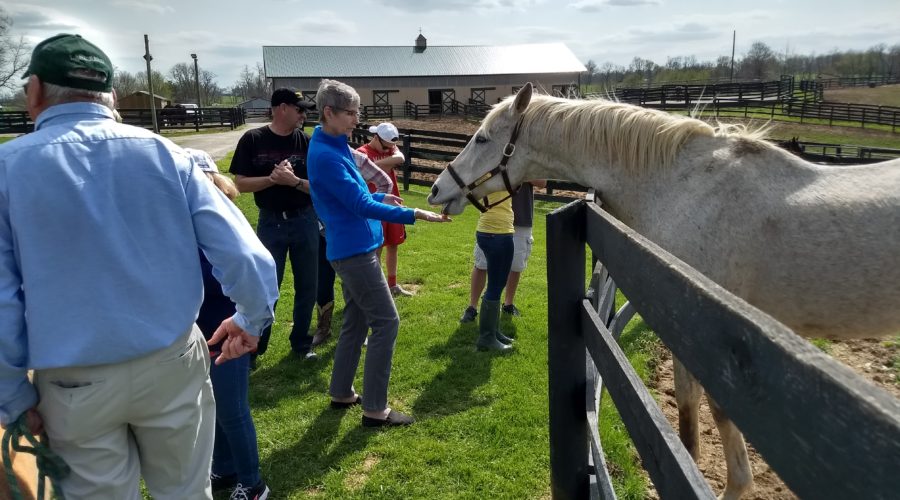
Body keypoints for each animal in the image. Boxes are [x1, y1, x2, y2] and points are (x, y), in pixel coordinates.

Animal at [428, 82, 900, 500]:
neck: (682, 187)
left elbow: (703, 410)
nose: (437, 189)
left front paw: (719, 481)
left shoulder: (708, 334)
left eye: (482, 138)